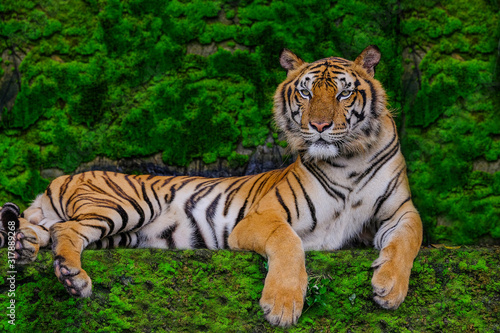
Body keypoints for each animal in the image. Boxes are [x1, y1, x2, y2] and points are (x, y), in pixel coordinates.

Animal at [0, 45, 422, 326]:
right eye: (305, 92)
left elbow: (408, 239)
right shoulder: (262, 218)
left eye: (343, 92)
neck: (349, 159)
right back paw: (72, 277)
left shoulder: (399, 211)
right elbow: (290, 242)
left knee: (45, 230)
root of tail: (63, 177)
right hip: (126, 205)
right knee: (66, 230)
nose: (318, 126)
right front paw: (282, 305)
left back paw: (24, 249)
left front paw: (389, 290)